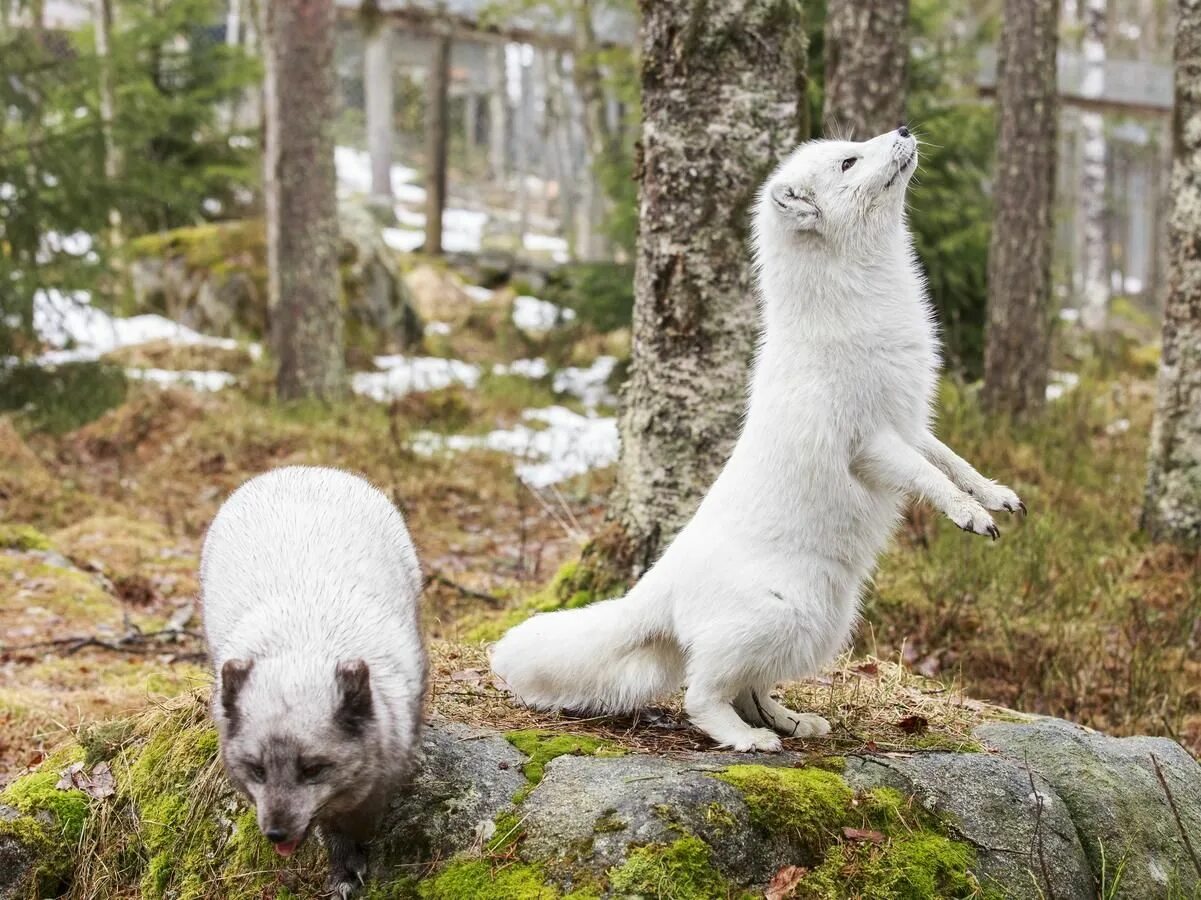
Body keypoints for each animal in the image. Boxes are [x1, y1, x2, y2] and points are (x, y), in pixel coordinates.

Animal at [196, 466, 422, 893]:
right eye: (257, 770)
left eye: (313, 769)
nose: (276, 834)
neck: (304, 647)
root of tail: (299, 469)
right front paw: (343, 868)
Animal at [487, 126, 1023, 749]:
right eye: (850, 160)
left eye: (855, 143)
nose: (904, 130)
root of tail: (659, 586)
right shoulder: (871, 442)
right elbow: (929, 478)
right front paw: (969, 516)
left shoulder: (913, 425)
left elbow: (953, 463)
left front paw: (997, 496)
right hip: (776, 619)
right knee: (701, 693)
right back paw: (748, 739)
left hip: (822, 626)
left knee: (750, 688)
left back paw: (791, 721)